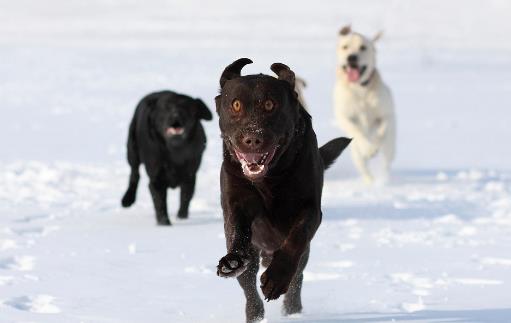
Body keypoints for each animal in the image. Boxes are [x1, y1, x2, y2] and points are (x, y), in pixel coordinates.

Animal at [121, 90, 212, 225]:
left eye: (186, 106)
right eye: (165, 107)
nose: (175, 115)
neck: (175, 152)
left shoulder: (190, 176)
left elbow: (185, 198)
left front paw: (181, 218)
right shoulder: (156, 179)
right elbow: (160, 202)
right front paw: (164, 223)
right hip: (132, 149)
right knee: (134, 173)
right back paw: (127, 199)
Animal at [216, 58, 352, 323]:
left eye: (270, 104)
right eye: (235, 104)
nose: (252, 138)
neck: (269, 179)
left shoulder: (310, 209)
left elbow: (296, 238)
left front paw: (276, 280)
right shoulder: (236, 202)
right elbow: (238, 232)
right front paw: (233, 260)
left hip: (303, 255)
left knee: (297, 278)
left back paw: (292, 310)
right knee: (249, 288)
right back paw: (255, 314)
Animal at [334, 25, 398, 184]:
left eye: (363, 47)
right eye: (345, 47)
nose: (352, 57)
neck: (360, 90)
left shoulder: (386, 113)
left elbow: (382, 128)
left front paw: (375, 140)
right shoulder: (343, 116)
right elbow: (356, 130)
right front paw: (368, 148)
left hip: (391, 147)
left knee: (386, 162)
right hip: (355, 154)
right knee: (364, 168)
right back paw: (370, 181)